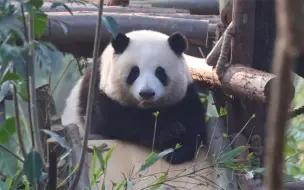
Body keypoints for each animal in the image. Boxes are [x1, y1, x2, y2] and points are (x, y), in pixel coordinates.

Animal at [60, 29, 208, 165]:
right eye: (134, 72)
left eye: (160, 72)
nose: (147, 93)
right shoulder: (99, 92)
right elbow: (118, 122)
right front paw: (170, 133)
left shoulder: (184, 95)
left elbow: (193, 120)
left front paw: (179, 149)